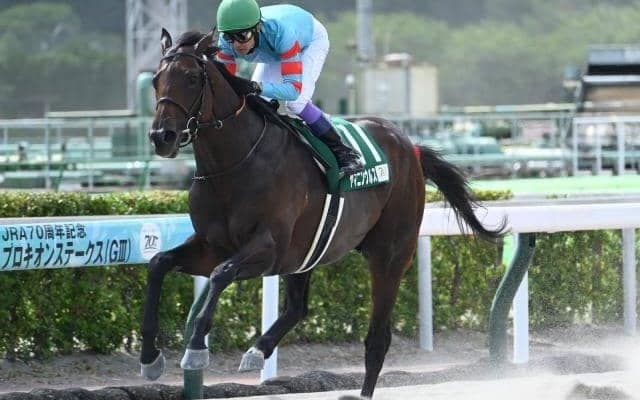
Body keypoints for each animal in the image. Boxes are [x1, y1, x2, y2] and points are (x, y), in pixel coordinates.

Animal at [140, 29, 505, 399]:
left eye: (190, 77)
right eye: (156, 80)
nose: (161, 136)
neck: (233, 164)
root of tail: (409, 146)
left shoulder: (268, 250)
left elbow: (220, 275)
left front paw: (196, 348)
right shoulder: (212, 245)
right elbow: (159, 264)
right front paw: (150, 356)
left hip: (389, 255)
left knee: (377, 339)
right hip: (306, 254)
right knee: (298, 307)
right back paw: (258, 350)